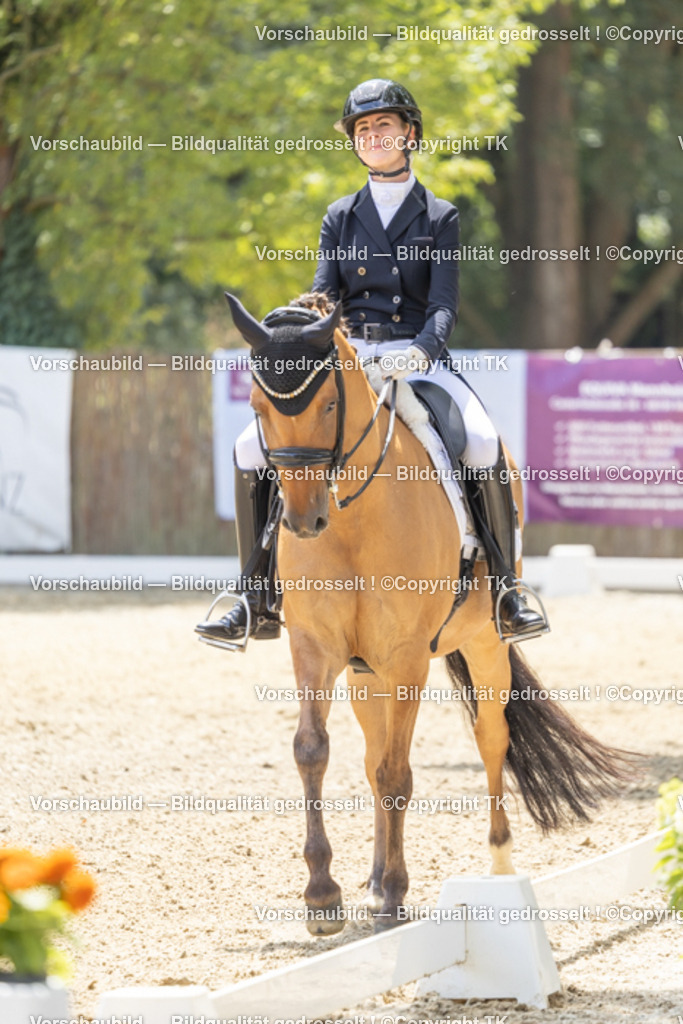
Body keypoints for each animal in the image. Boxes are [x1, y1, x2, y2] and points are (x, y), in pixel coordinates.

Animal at [224, 289, 637, 933]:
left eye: (328, 404)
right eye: (258, 406)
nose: (302, 521)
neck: (351, 521)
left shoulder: (407, 658)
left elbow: (399, 773)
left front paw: (394, 892)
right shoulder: (315, 647)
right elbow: (314, 751)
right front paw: (323, 895)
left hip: (483, 644)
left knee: (490, 737)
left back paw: (496, 864)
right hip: (364, 672)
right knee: (373, 755)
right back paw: (372, 881)